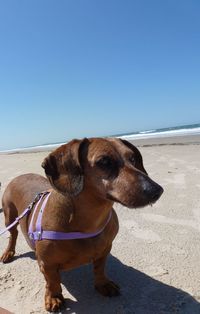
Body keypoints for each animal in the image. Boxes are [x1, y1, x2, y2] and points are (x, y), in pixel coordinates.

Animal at [0, 138, 162, 312]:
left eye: (133, 158)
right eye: (104, 162)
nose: (157, 190)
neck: (89, 223)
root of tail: (19, 176)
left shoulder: (105, 250)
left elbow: (99, 269)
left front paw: (103, 284)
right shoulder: (46, 264)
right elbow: (52, 281)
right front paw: (54, 297)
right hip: (9, 216)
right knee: (13, 235)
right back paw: (8, 252)